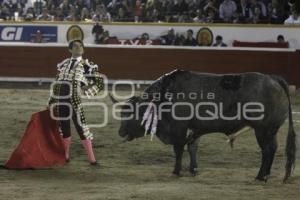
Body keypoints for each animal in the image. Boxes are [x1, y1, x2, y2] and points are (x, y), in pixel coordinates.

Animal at [111, 69, 296, 182]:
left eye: (131, 114)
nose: (120, 132)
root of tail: (274, 79)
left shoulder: (179, 128)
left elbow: (179, 149)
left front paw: (176, 171)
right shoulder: (195, 129)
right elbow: (193, 147)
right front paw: (193, 170)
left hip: (263, 130)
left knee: (268, 150)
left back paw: (261, 176)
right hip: (270, 131)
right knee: (272, 149)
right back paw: (265, 175)